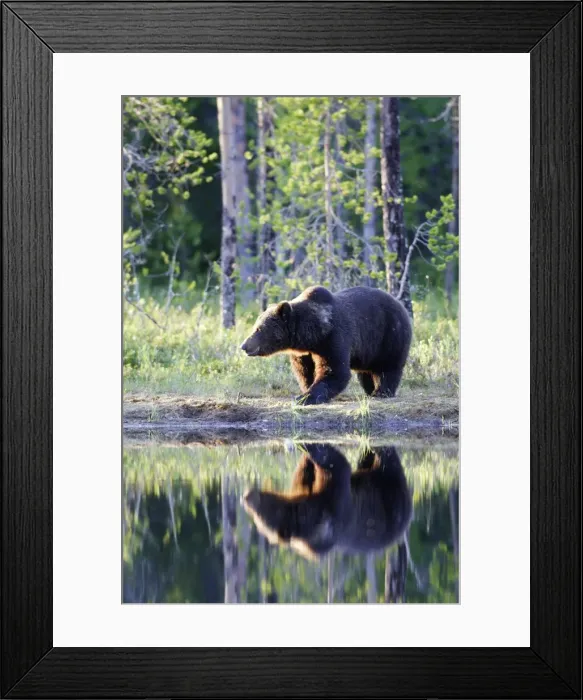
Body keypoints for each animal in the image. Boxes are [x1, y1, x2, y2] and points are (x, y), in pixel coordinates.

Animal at [240, 285, 412, 404]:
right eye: (255, 326)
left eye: (259, 328)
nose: (244, 346)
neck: (313, 335)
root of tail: (400, 304)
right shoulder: (303, 352)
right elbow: (304, 371)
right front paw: (307, 389)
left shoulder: (333, 338)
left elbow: (334, 371)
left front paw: (305, 398)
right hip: (369, 349)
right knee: (366, 372)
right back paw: (370, 390)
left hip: (390, 334)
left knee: (388, 366)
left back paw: (382, 392)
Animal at [242, 443, 413, 561]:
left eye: (259, 515)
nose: (246, 497)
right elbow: (305, 474)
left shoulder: (333, 507)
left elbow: (336, 465)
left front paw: (313, 448)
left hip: (389, 500)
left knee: (387, 463)